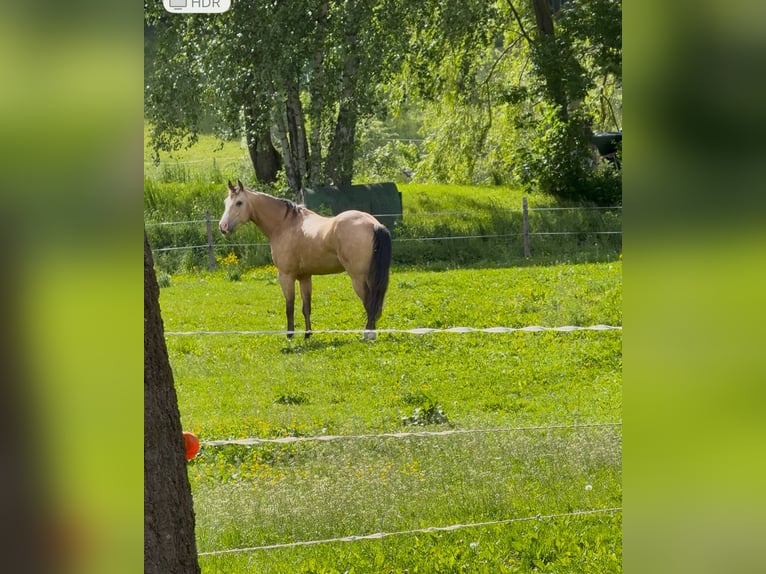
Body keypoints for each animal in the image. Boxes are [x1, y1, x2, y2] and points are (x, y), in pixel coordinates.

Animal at [218, 180, 392, 340]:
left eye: (239, 202)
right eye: (226, 203)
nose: (222, 227)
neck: (284, 225)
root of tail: (374, 224)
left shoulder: (286, 276)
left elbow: (289, 307)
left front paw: (290, 335)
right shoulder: (305, 277)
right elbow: (306, 307)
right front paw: (308, 334)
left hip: (358, 278)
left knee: (369, 304)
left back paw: (368, 335)